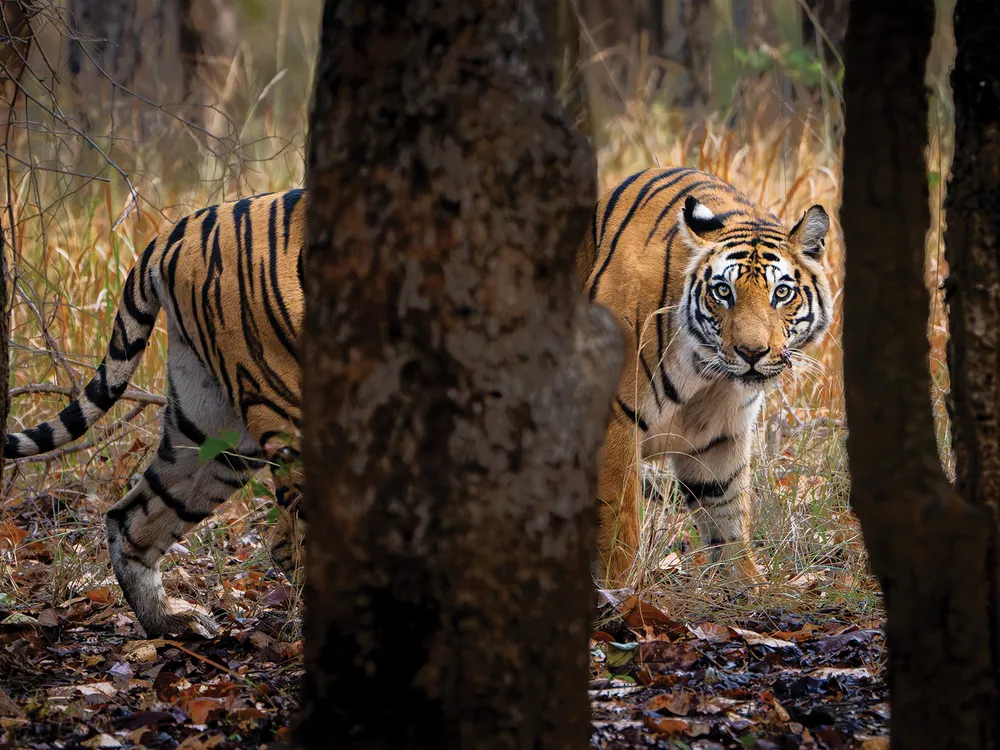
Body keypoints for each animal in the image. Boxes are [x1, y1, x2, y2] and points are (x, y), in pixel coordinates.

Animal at [584, 167, 832, 592]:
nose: (751, 352)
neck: (705, 372)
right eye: (722, 291)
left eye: (782, 293)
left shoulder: (720, 433)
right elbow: (620, 524)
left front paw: (746, 587)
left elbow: (726, 513)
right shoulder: (614, 420)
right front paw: (624, 594)